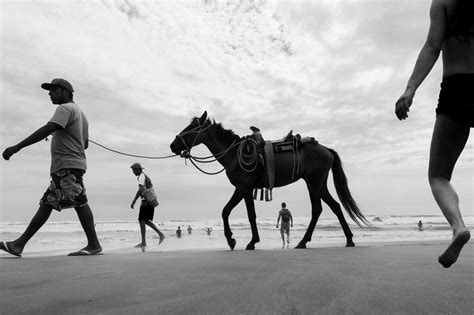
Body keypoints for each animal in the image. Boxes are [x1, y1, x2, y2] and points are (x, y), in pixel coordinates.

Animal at [170, 112, 370, 251]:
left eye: (191, 127)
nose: (173, 145)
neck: (234, 154)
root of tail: (327, 150)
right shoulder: (243, 189)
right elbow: (233, 212)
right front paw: (239, 240)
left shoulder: (243, 188)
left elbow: (240, 213)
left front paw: (242, 241)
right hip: (319, 184)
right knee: (335, 206)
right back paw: (349, 239)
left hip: (313, 183)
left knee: (317, 209)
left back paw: (304, 241)